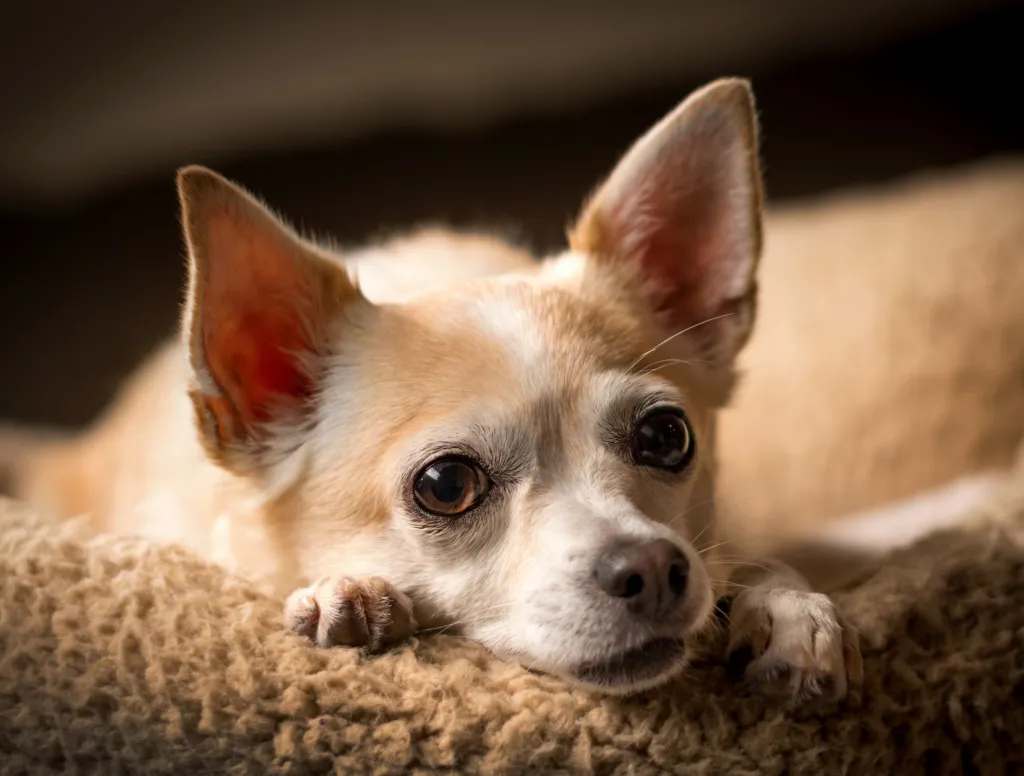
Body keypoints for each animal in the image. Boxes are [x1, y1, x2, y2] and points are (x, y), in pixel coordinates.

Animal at [4, 81, 868, 700]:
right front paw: (350, 594)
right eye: (446, 485)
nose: (653, 566)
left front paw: (787, 611)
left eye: (666, 436)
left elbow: (759, 561)